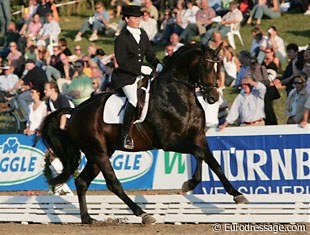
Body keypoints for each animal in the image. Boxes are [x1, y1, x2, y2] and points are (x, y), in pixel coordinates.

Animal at [40, 43, 249, 225]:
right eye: (206, 66)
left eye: (218, 67)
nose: (213, 97)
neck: (178, 95)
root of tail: (75, 111)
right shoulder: (170, 141)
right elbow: (199, 154)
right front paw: (189, 184)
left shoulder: (198, 137)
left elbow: (212, 161)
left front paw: (237, 194)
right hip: (98, 153)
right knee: (113, 184)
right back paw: (143, 214)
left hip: (99, 154)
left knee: (82, 182)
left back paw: (88, 219)